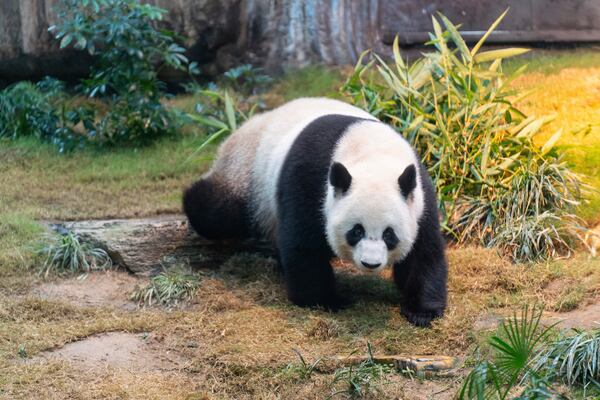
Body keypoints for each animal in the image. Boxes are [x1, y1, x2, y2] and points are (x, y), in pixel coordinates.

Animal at [185, 97, 448, 328]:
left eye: (389, 234)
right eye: (356, 231)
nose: (370, 263)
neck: (373, 155)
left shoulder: (419, 199)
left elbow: (424, 253)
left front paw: (422, 311)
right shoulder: (311, 181)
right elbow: (303, 245)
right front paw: (328, 300)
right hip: (248, 174)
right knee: (218, 211)